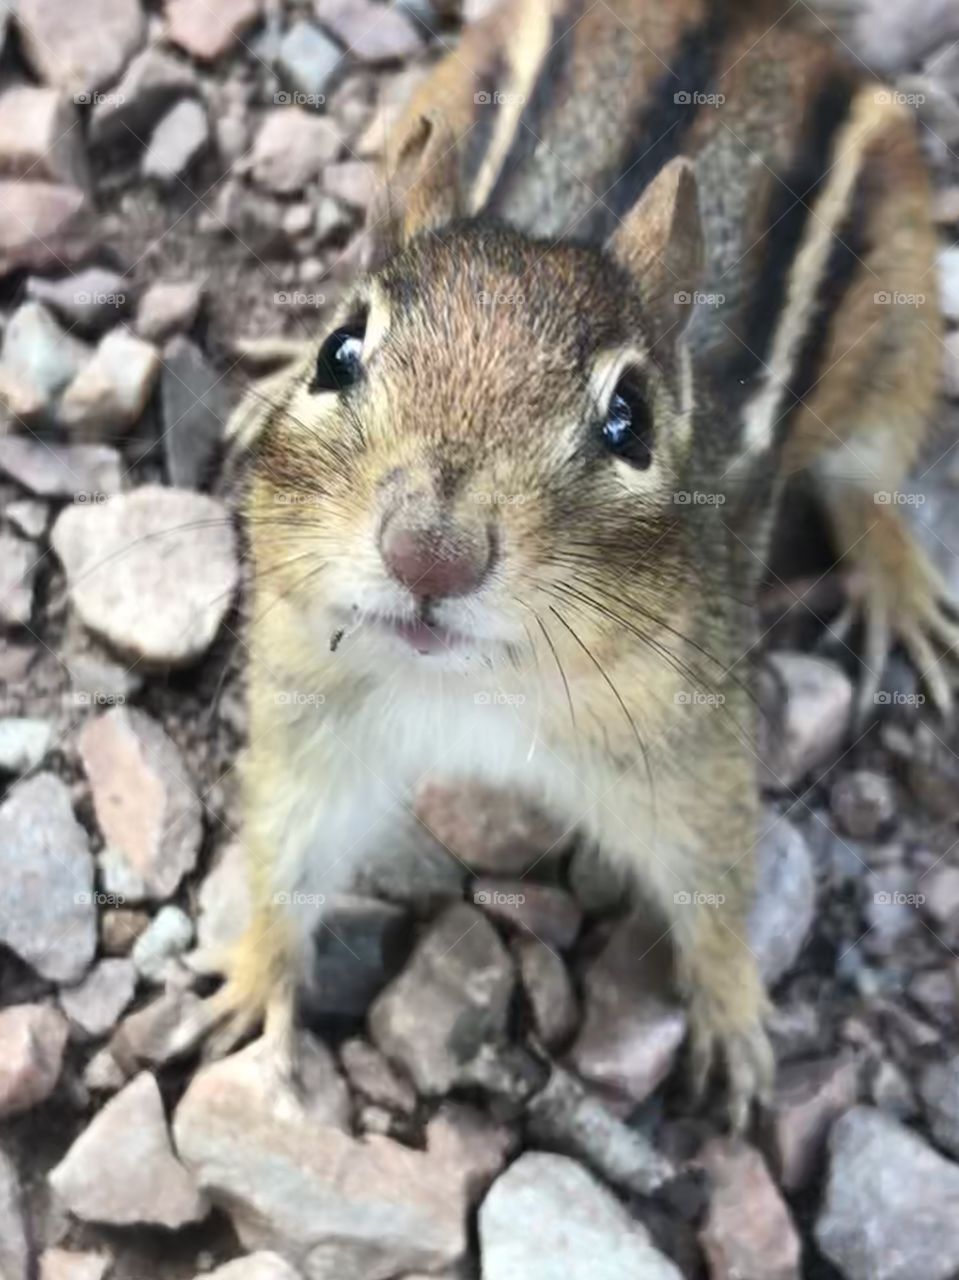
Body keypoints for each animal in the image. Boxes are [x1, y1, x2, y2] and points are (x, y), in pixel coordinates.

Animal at [205, 0, 952, 1127]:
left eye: (626, 418)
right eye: (341, 351)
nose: (430, 552)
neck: (466, 693)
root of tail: (746, 16)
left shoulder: (689, 750)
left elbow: (717, 883)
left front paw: (734, 1027)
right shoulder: (314, 721)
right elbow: (285, 849)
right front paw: (248, 982)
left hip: (899, 333)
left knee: (870, 482)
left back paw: (899, 597)